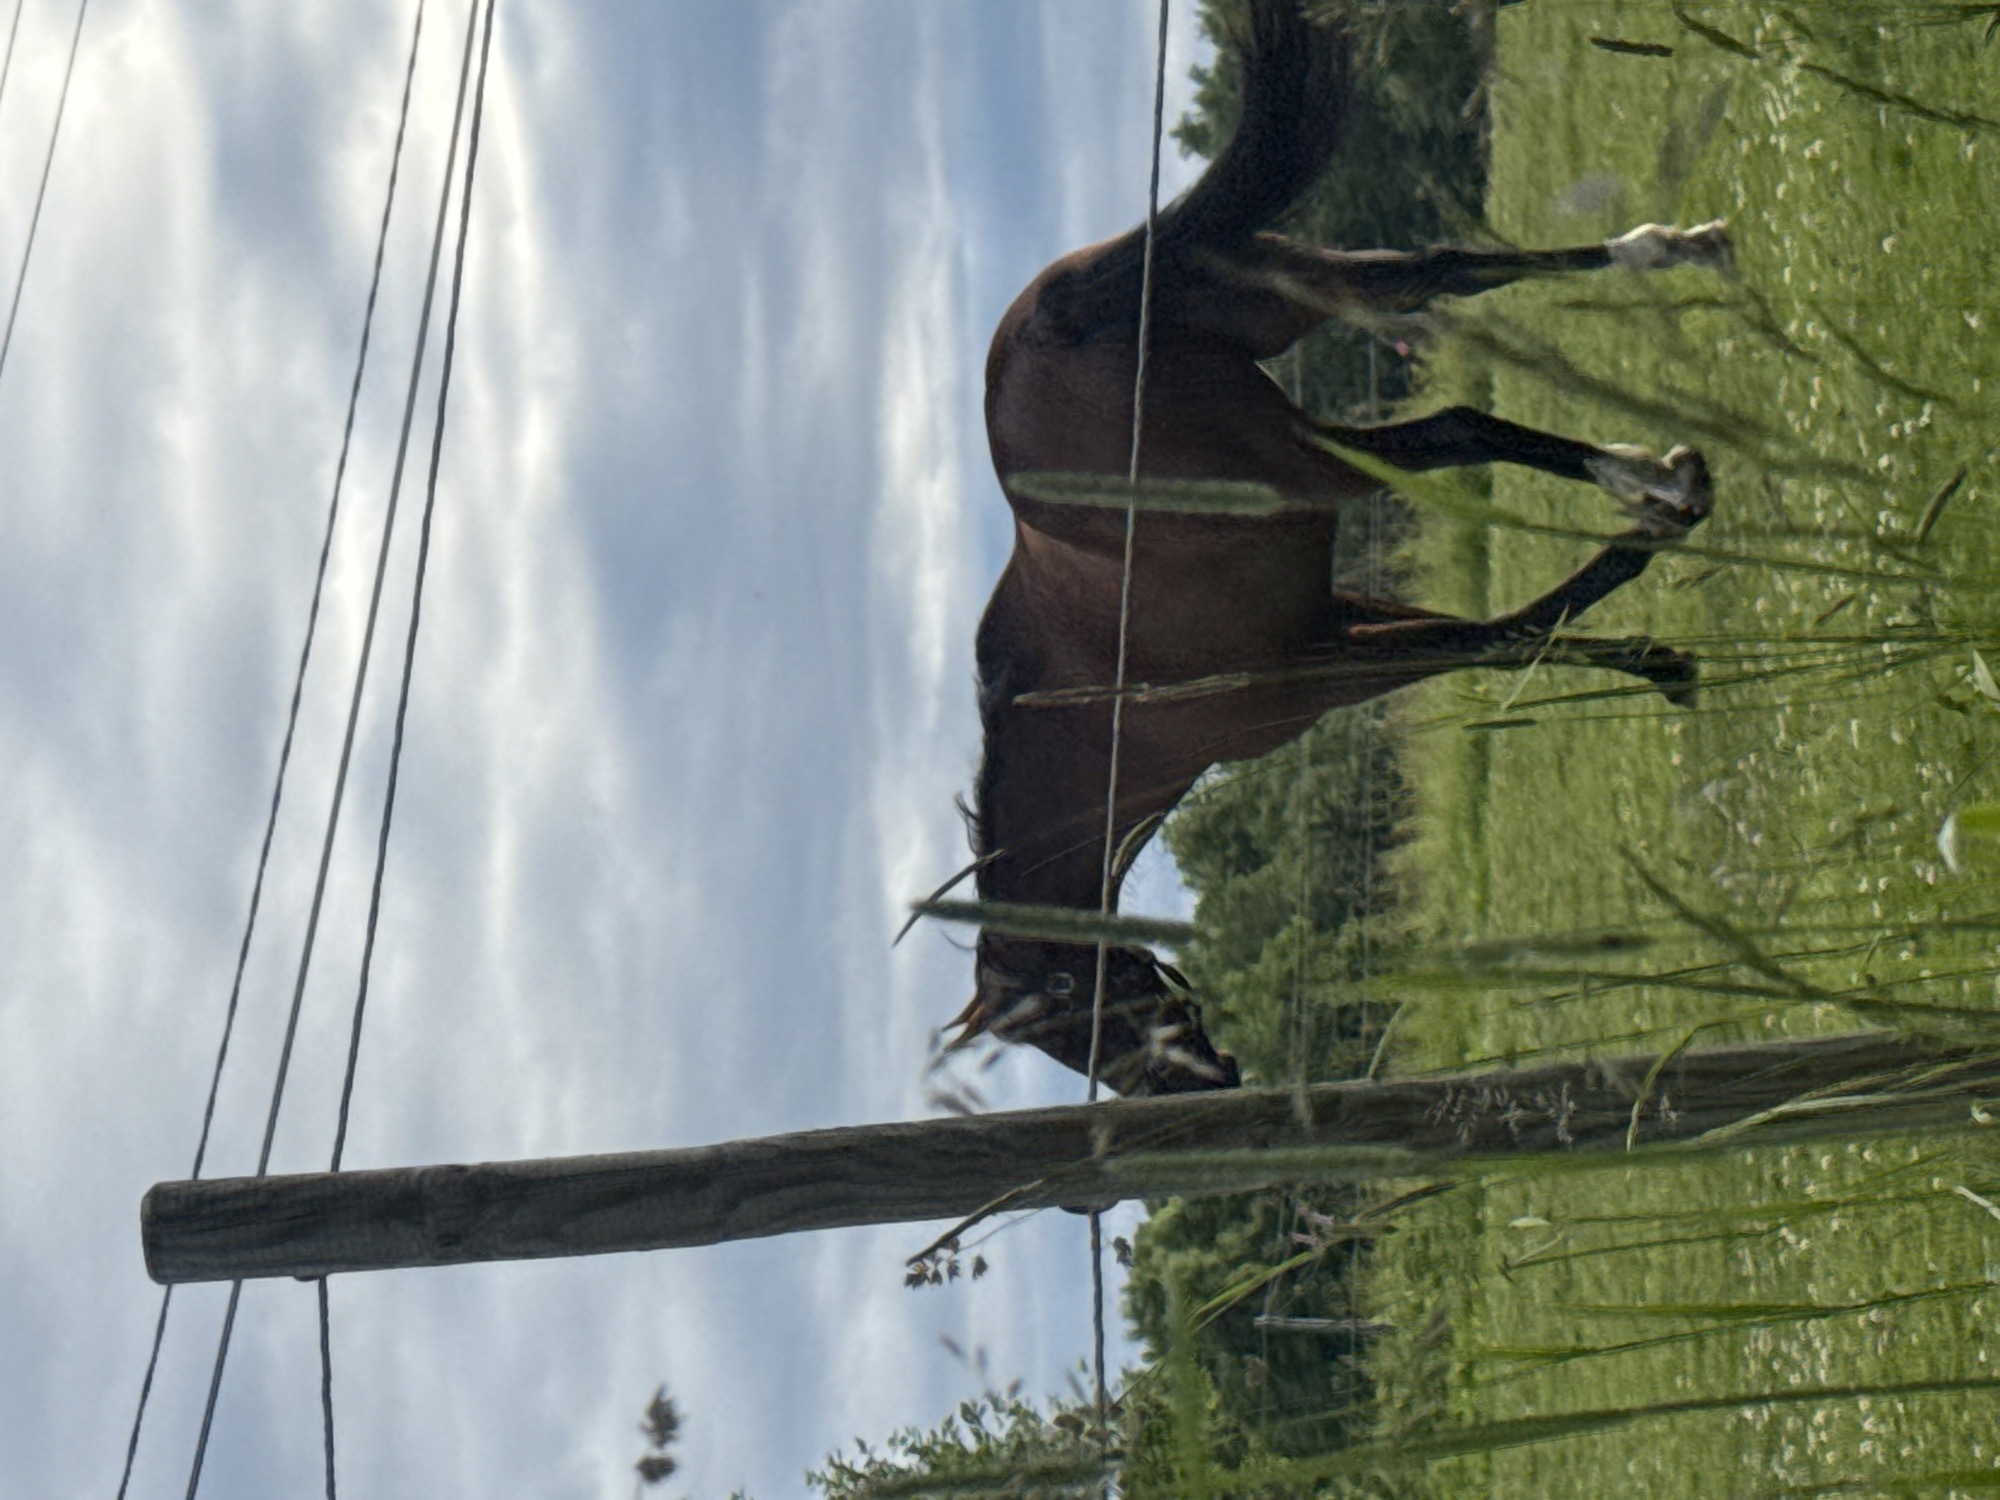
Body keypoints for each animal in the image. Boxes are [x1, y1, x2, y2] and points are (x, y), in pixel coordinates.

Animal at [950, 0, 1728, 1096]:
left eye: (1074, 1020)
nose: (1210, 1079)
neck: (1103, 707)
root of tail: (1051, 323)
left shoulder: (1325, 669)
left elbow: (1498, 636)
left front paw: (1642, 587)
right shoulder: (1340, 620)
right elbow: (1511, 629)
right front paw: (1652, 654)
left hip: (1312, 456)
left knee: (1455, 425)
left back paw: (1648, 482)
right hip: (1297, 294)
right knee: (1441, 271)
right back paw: (1671, 253)